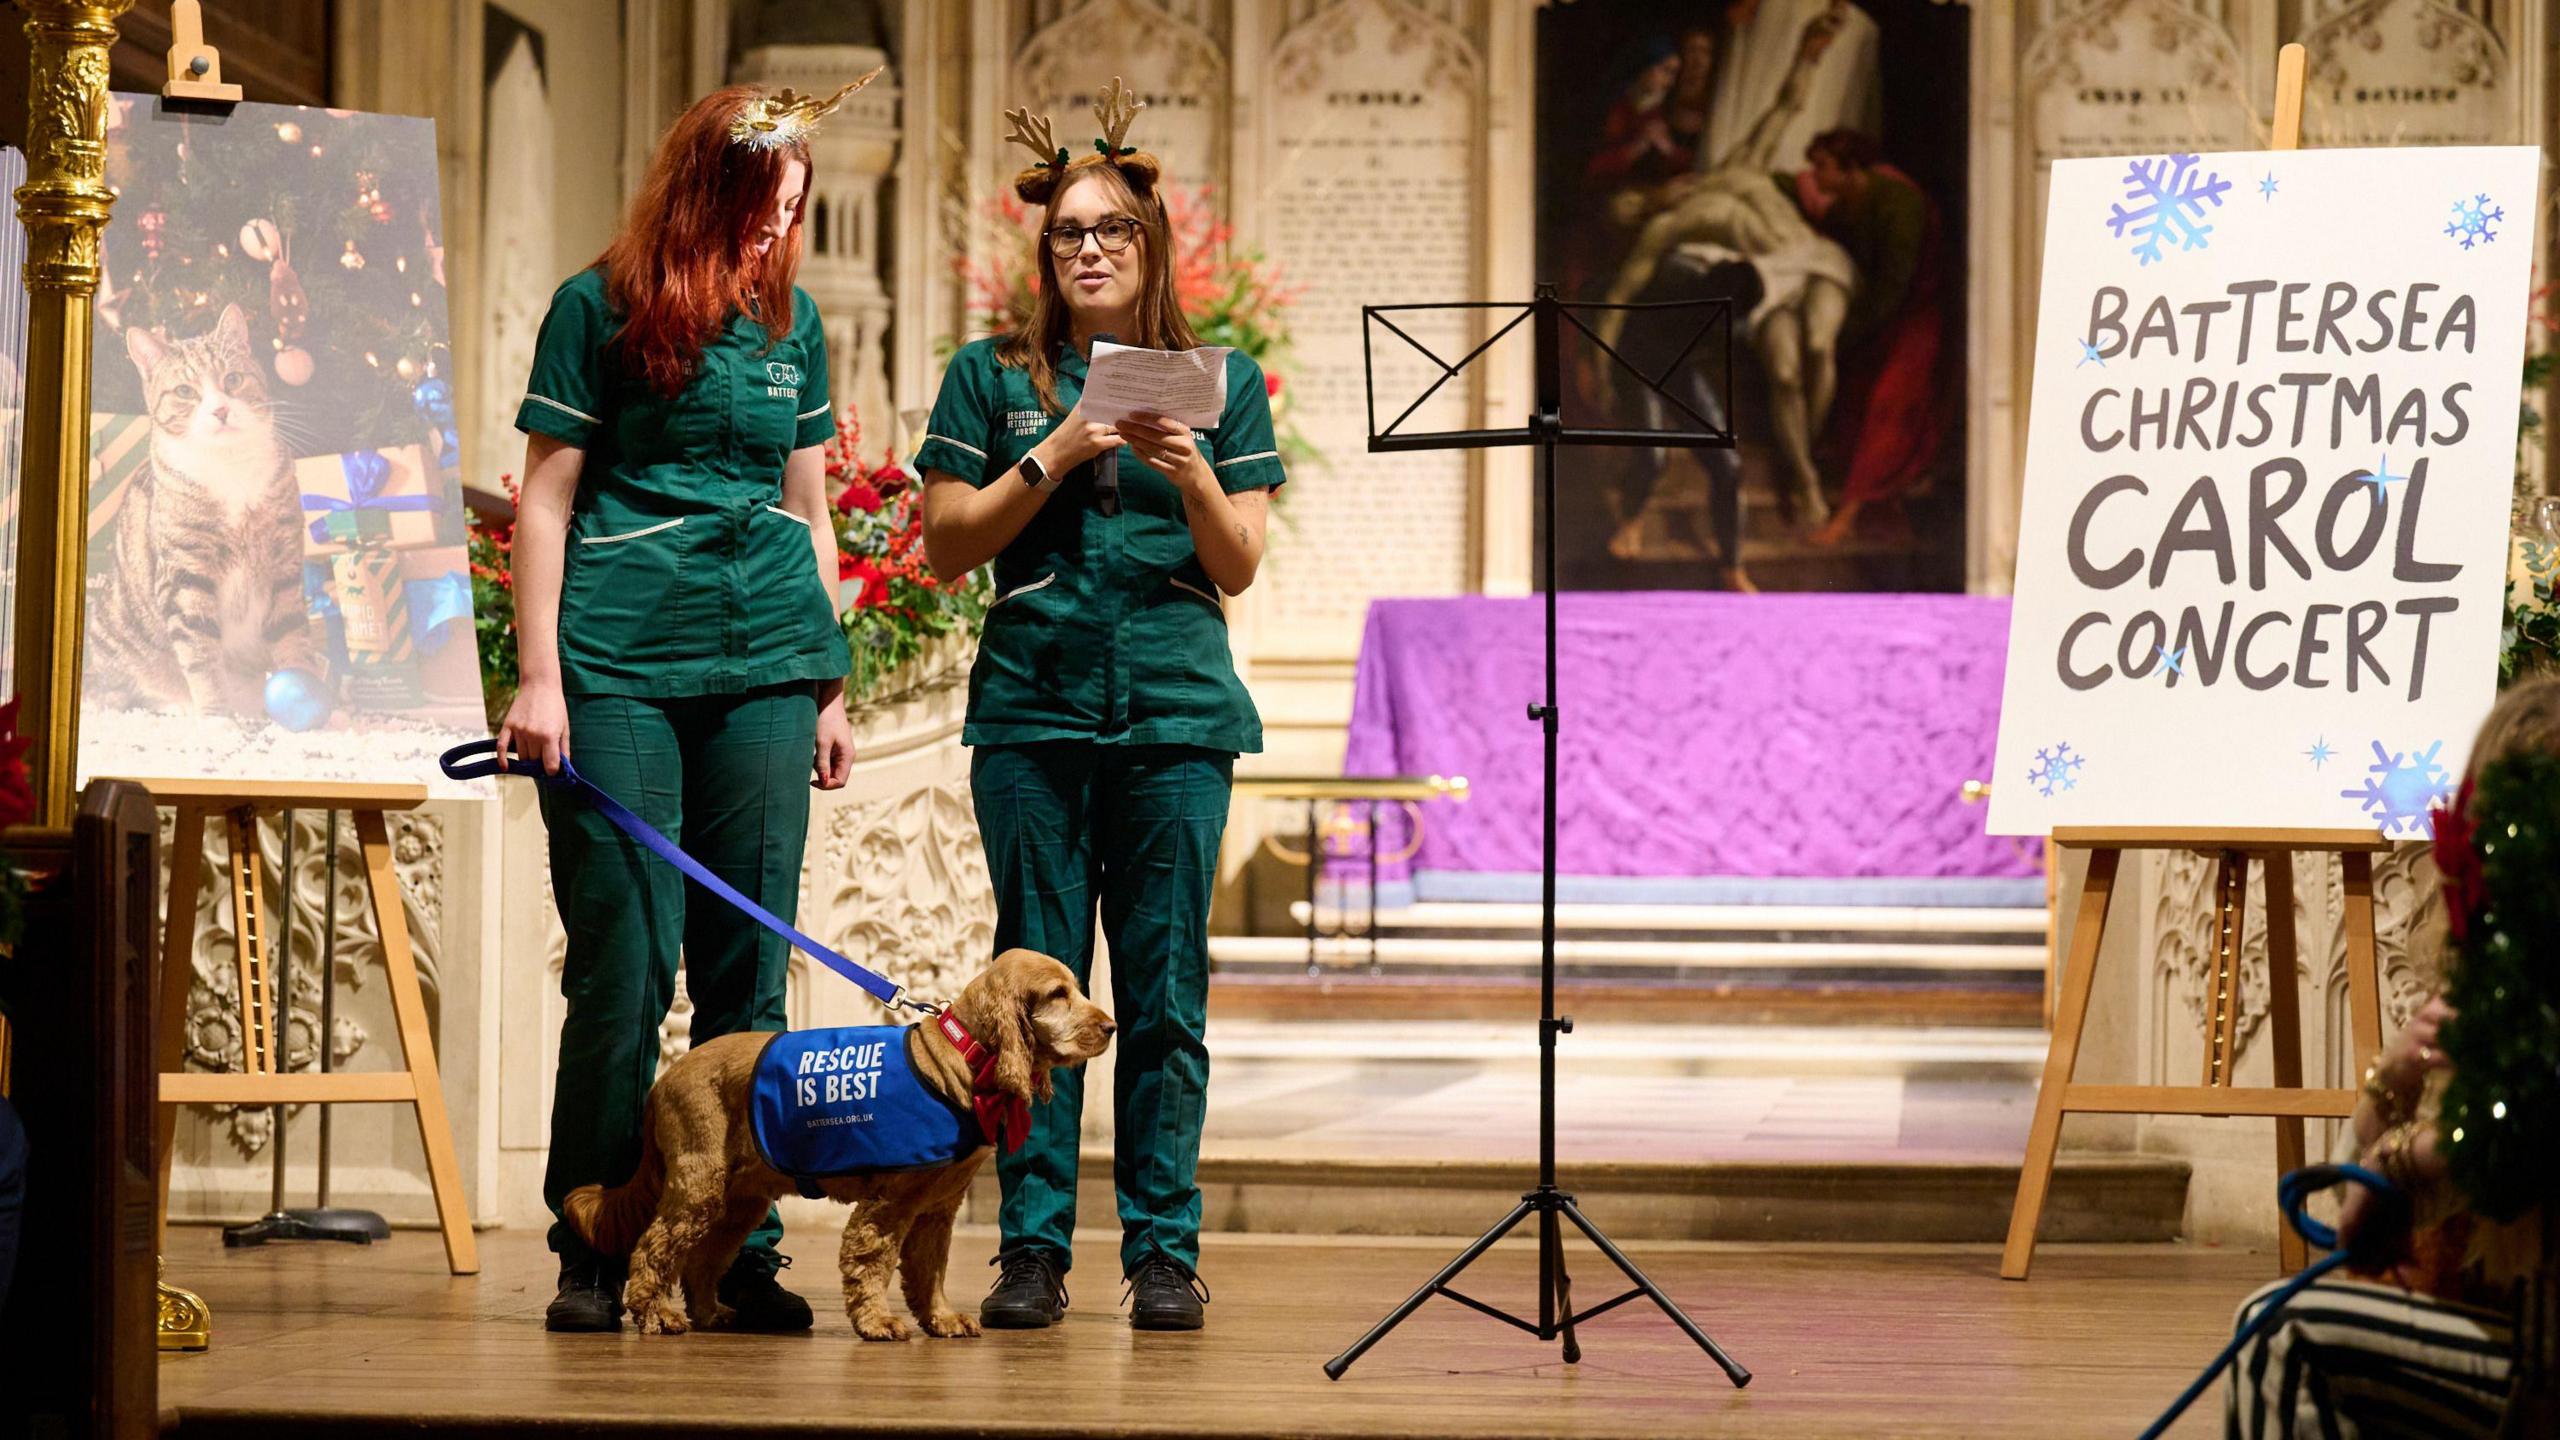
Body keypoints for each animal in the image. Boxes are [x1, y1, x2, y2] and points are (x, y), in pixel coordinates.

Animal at [87, 299, 317, 712]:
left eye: (233, 380)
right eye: (184, 390)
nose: (220, 410)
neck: (229, 465)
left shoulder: (284, 560)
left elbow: (291, 632)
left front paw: (312, 699)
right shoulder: (185, 571)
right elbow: (199, 650)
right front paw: (216, 716)